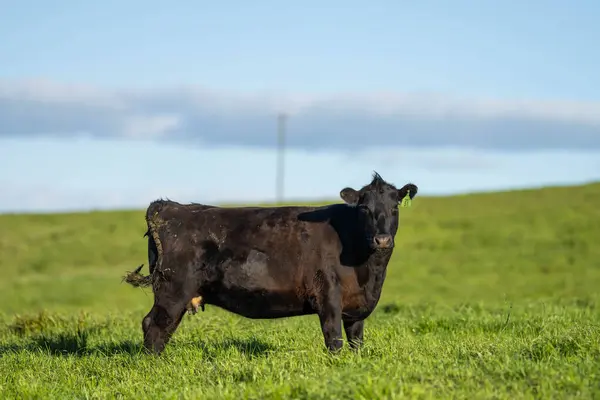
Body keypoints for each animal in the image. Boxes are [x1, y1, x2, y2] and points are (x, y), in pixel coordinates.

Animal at [123, 172, 418, 354]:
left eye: (395, 207)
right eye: (365, 208)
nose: (382, 239)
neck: (368, 272)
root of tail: (169, 206)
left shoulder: (356, 308)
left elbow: (356, 342)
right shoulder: (329, 298)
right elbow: (334, 340)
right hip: (173, 289)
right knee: (155, 325)